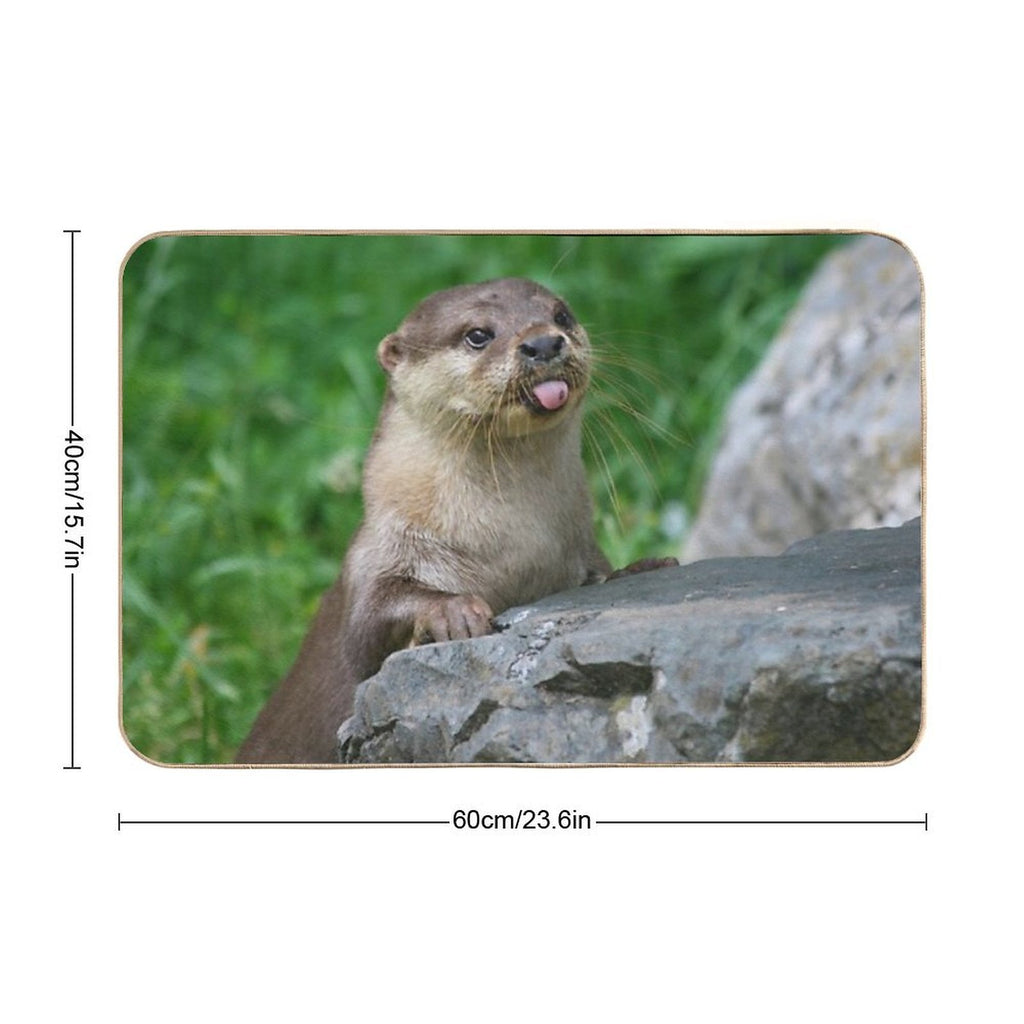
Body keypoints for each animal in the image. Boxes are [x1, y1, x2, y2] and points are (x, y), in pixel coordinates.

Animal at [236, 278, 675, 764]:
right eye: (477, 335)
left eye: (561, 314)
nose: (543, 342)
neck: (513, 546)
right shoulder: (377, 551)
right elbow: (366, 630)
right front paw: (452, 611)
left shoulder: (578, 550)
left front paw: (641, 568)